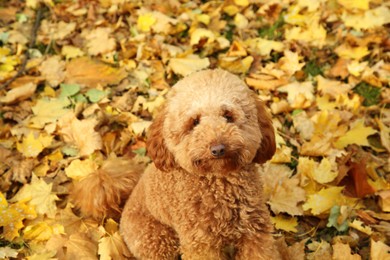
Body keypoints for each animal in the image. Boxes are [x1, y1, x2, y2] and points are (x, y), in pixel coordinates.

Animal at [120, 69, 278, 260]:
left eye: (228, 116)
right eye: (194, 122)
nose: (218, 149)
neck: (219, 182)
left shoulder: (255, 231)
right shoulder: (200, 243)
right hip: (157, 240)